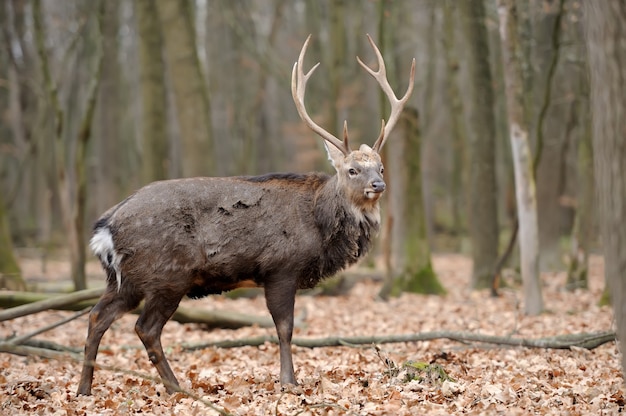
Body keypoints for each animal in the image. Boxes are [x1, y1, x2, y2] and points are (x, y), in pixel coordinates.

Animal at [75, 35, 412, 396]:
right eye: (352, 170)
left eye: (380, 167)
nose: (379, 184)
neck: (318, 221)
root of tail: (105, 227)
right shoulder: (281, 266)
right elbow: (284, 327)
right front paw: (289, 381)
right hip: (167, 274)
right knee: (145, 327)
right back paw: (176, 387)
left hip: (124, 279)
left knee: (97, 316)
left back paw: (85, 389)